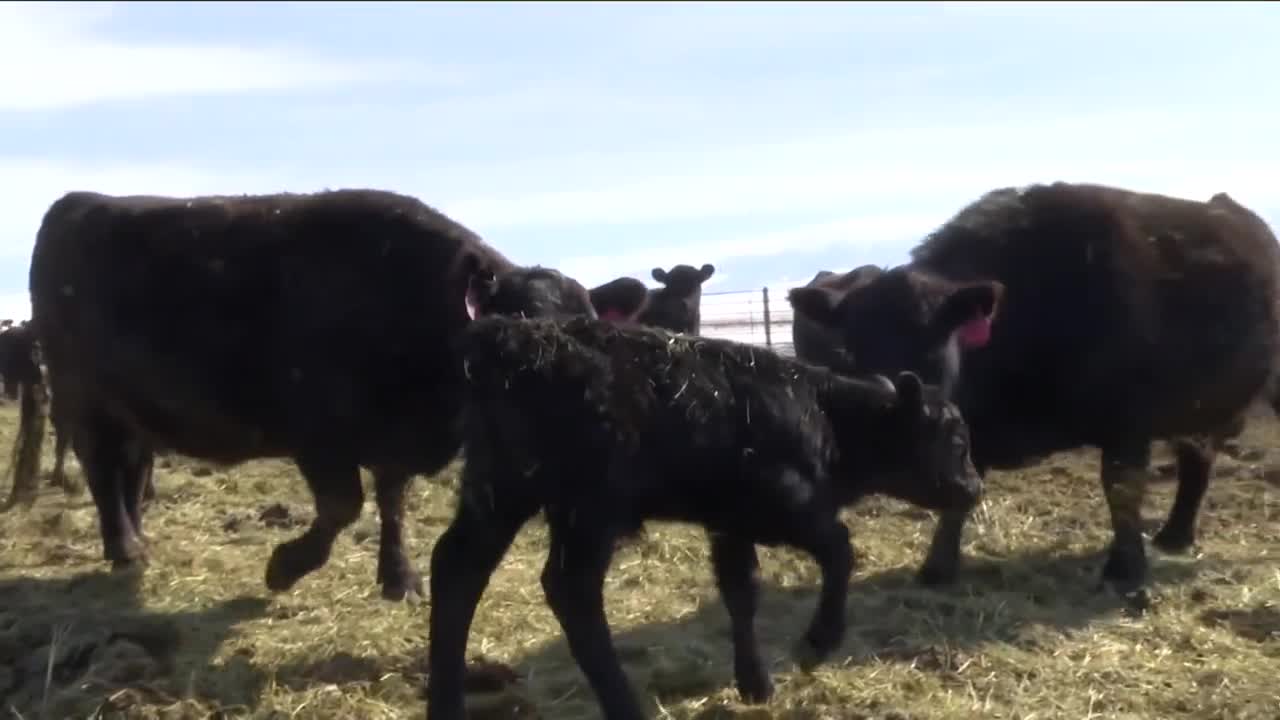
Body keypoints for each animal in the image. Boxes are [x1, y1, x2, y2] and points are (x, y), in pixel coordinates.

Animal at [13, 188, 650, 602]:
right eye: (510, 336)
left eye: (591, 337)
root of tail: (76, 202)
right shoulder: (318, 436)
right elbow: (344, 506)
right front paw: (284, 567)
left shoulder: (395, 440)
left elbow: (392, 500)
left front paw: (399, 579)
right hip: (80, 393)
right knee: (100, 469)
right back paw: (124, 549)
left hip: (131, 409)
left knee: (128, 468)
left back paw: (134, 538)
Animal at [426, 313, 983, 720]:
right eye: (955, 440)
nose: (974, 488)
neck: (824, 414)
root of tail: (510, 337)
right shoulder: (787, 508)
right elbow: (841, 551)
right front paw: (817, 642)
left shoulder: (730, 523)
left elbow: (742, 590)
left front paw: (755, 682)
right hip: (587, 509)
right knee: (571, 590)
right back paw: (625, 707)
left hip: (498, 494)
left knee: (457, 569)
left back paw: (446, 705)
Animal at [787, 181, 1280, 598]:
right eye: (851, 350)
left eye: (930, 348)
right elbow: (957, 500)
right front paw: (937, 569)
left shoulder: (1128, 422)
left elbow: (1121, 489)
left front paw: (1124, 569)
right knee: (1198, 457)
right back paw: (1175, 536)